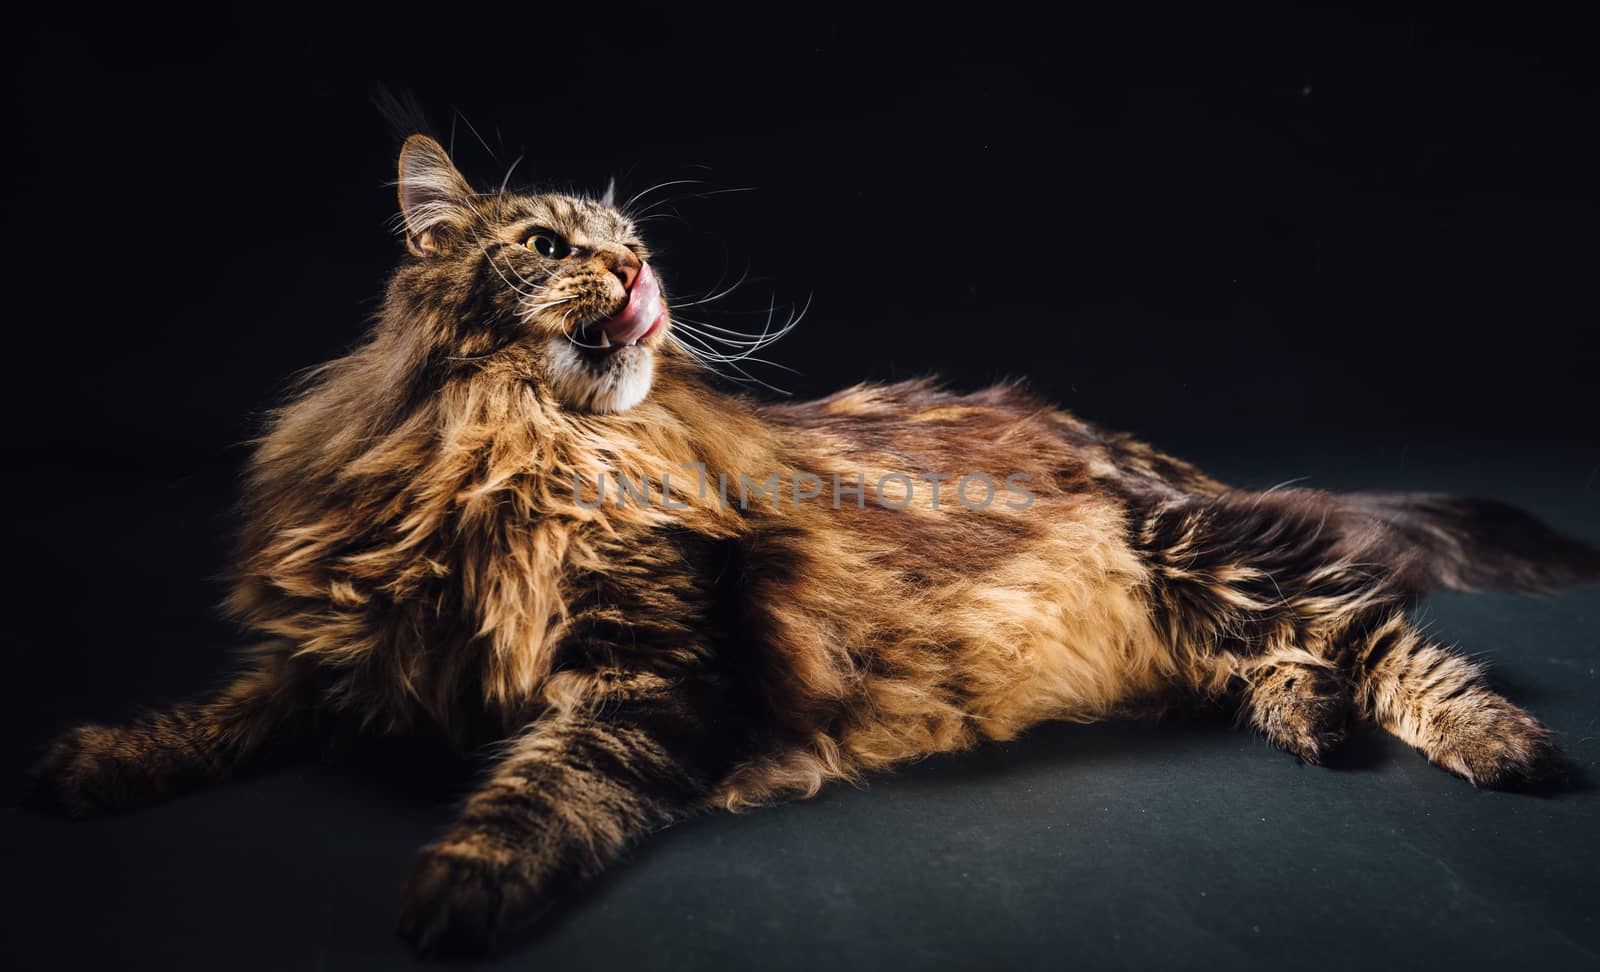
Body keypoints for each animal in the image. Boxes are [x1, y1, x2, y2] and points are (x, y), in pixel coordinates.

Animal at [28, 135, 1600, 959]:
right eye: (546, 244)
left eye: (627, 238)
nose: (639, 269)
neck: (523, 455)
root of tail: (1126, 440)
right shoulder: (355, 652)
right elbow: (223, 709)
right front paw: (102, 760)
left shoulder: (652, 676)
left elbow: (541, 783)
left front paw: (457, 885)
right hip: (1192, 593)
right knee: (1277, 656)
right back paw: (1306, 723)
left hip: (1191, 547)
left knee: (1380, 631)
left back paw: (1490, 745)